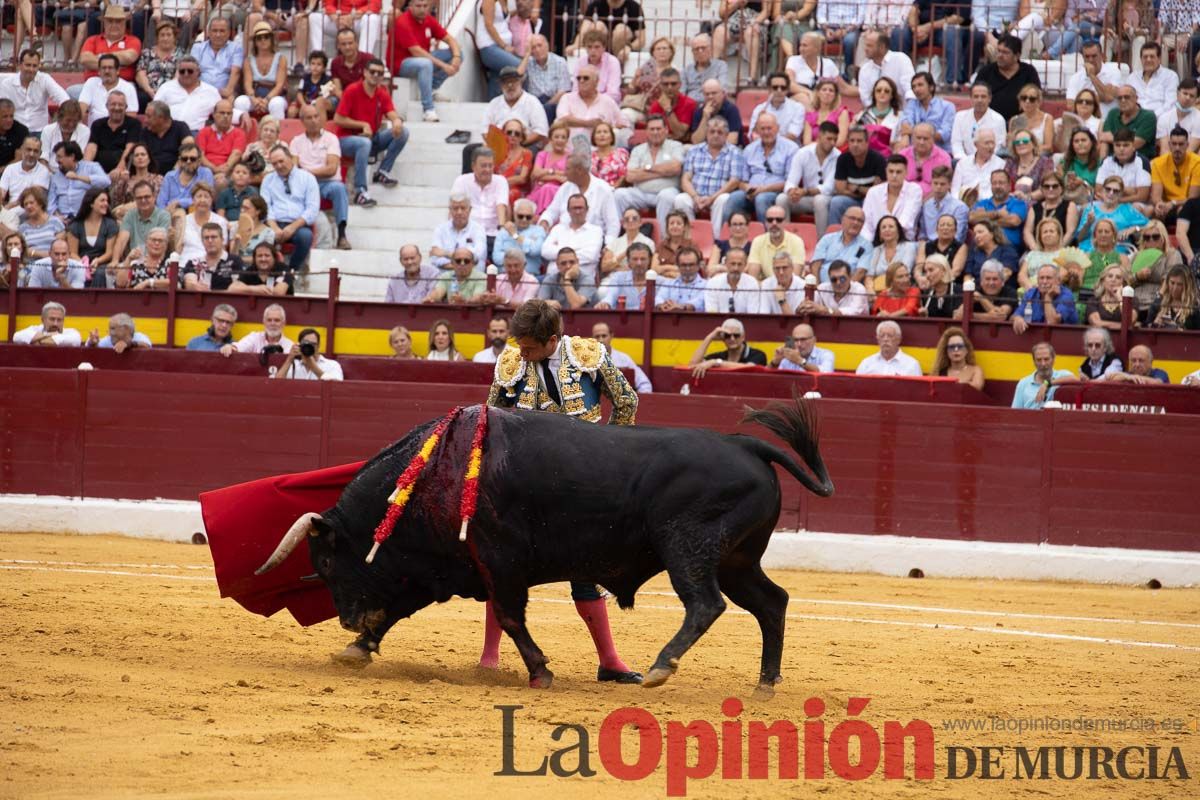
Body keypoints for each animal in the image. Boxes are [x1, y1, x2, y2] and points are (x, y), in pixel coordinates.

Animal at [256, 400, 830, 695]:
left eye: (326, 561)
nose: (347, 619)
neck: (437, 472)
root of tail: (744, 444)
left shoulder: (500, 561)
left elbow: (510, 617)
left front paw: (540, 671)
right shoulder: (445, 566)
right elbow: (402, 607)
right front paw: (357, 648)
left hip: (689, 549)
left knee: (706, 605)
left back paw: (660, 668)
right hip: (737, 559)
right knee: (771, 603)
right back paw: (764, 684)